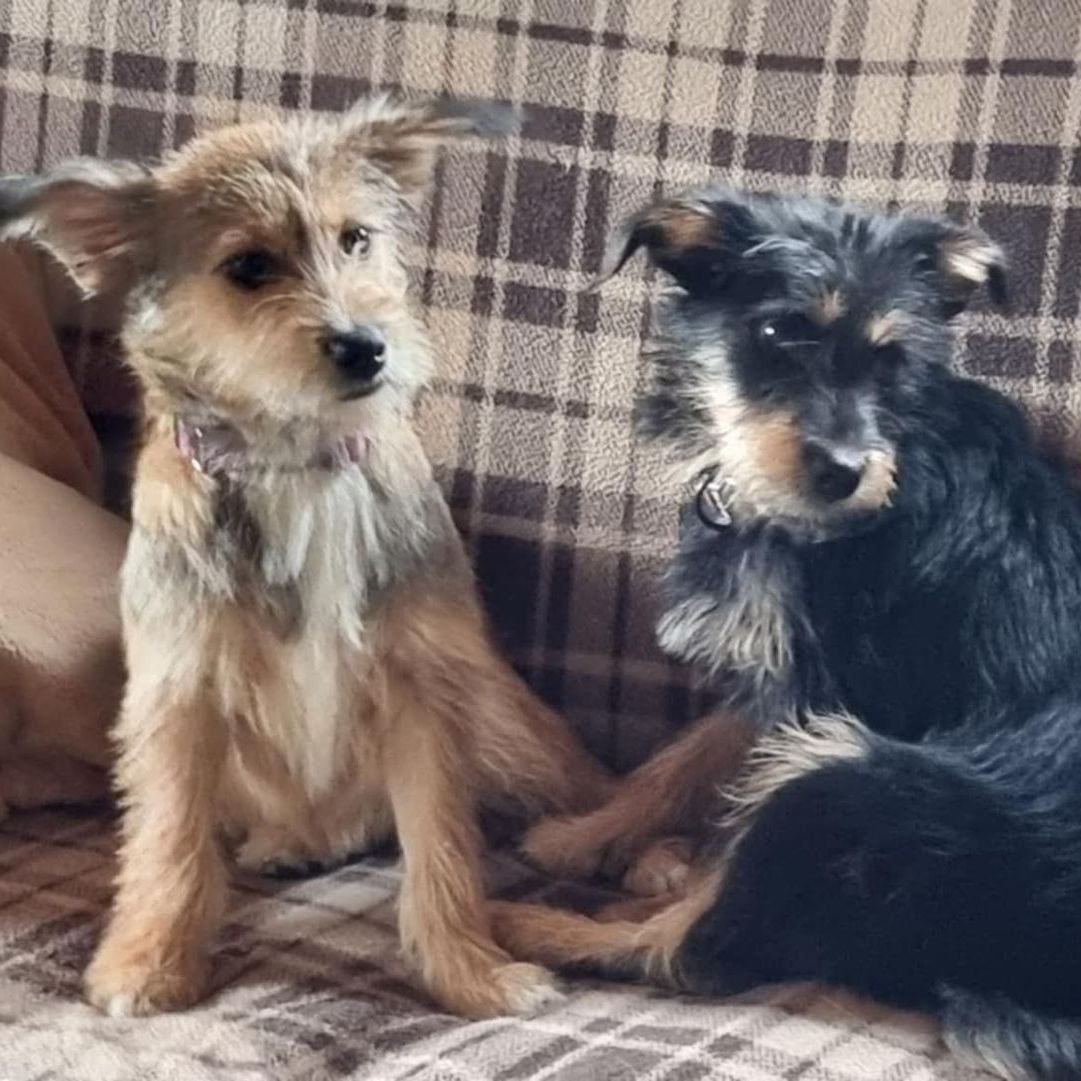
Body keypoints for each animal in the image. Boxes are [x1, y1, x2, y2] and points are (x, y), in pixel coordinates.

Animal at [0, 96, 612, 1020]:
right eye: (249, 266)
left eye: (355, 238)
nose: (366, 345)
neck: (297, 464)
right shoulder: (178, 694)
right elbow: (167, 840)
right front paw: (148, 961)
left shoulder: (426, 686)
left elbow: (442, 844)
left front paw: (469, 969)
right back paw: (293, 840)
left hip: (508, 728)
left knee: (597, 791)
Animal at [488, 189, 1081, 1080]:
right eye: (773, 333)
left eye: (890, 361)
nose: (842, 471)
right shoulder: (773, 683)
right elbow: (677, 761)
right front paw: (580, 836)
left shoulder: (824, 701)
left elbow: (718, 848)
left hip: (846, 775)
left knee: (694, 949)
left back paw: (538, 929)